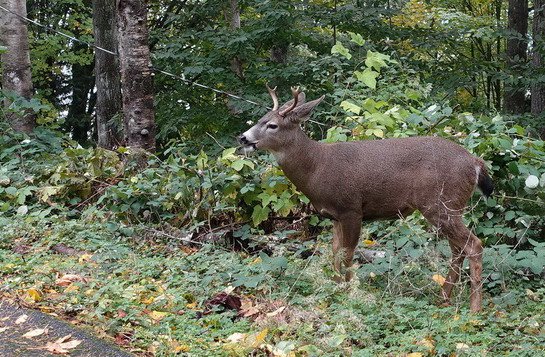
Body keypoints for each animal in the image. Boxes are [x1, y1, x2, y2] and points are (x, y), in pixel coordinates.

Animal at [238, 85, 492, 310]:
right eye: (260, 119)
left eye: (272, 125)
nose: (243, 138)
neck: (316, 168)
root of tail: (475, 162)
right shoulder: (334, 215)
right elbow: (335, 253)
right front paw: (337, 289)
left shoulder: (351, 208)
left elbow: (349, 254)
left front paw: (349, 292)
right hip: (449, 206)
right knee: (458, 249)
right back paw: (444, 296)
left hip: (440, 203)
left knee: (474, 245)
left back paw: (474, 309)